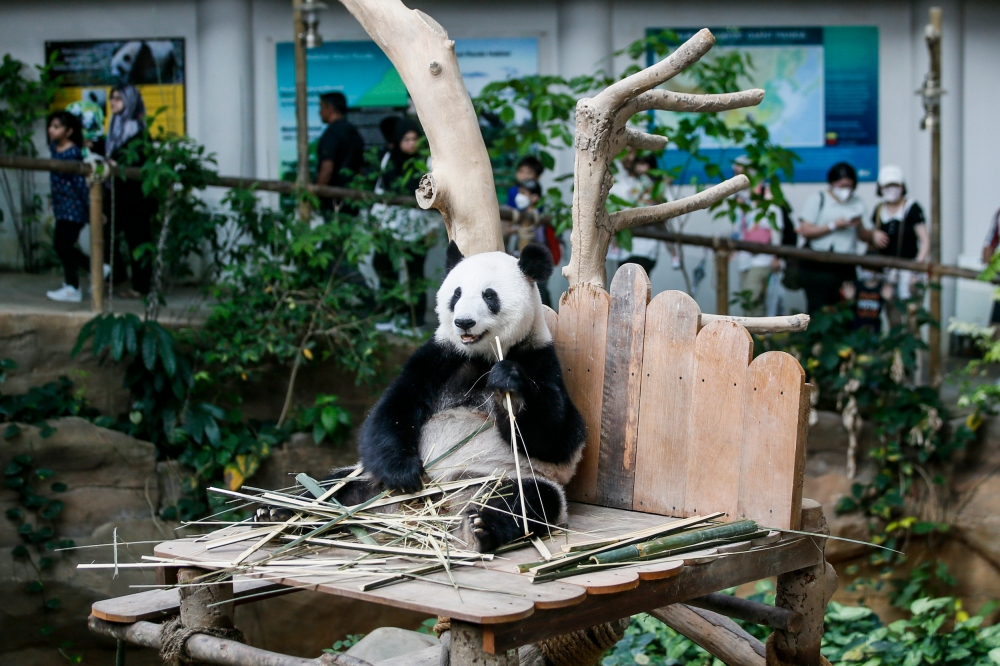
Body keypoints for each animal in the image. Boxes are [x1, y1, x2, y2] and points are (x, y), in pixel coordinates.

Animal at [261, 242, 585, 553]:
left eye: (489, 296)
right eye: (456, 293)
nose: (463, 322)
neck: (483, 356)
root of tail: (440, 503)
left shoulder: (539, 358)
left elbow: (561, 439)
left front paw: (509, 386)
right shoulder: (439, 357)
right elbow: (393, 409)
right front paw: (404, 473)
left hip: (500, 476)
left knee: (526, 500)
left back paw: (479, 528)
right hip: (368, 477)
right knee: (333, 487)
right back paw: (281, 512)